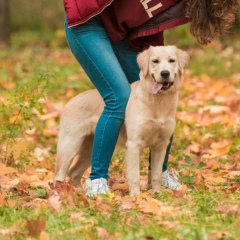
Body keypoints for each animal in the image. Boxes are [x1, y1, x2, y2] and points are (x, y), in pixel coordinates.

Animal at [54, 45, 189, 197]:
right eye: (155, 61)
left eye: (172, 60)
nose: (165, 73)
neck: (158, 101)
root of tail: (70, 101)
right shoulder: (134, 144)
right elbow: (135, 175)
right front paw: (136, 197)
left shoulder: (161, 144)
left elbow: (156, 175)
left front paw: (157, 194)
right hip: (70, 146)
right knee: (59, 175)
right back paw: (60, 193)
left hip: (91, 149)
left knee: (74, 173)